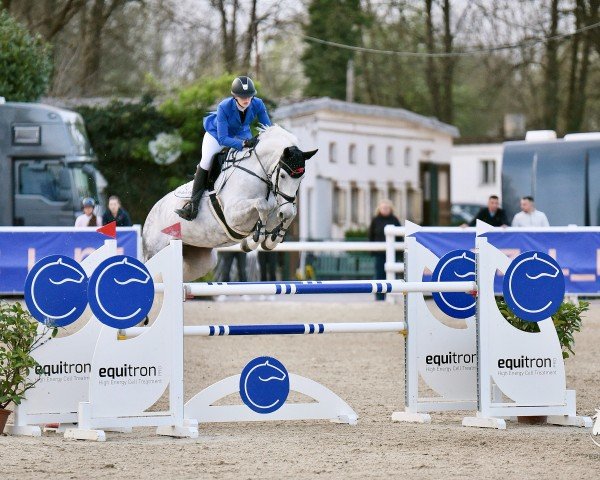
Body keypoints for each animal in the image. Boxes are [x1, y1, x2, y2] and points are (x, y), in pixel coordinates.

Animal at [142, 125, 316, 282]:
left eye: (301, 178)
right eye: (283, 176)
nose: (284, 212)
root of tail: (149, 216)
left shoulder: (275, 211)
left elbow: (285, 214)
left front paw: (271, 240)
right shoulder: (233, 216)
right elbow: (262, 205)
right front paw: (254, 240)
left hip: (200, 262)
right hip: (155, 251)